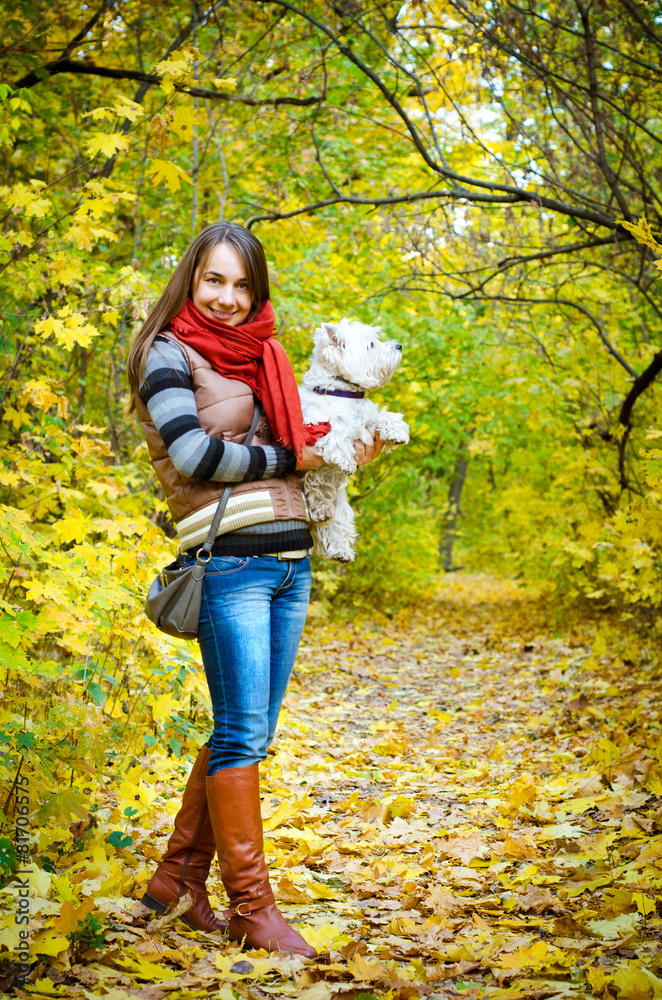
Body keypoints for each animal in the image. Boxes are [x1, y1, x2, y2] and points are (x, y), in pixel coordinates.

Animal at [300, 316, 410, 560]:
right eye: (371, 345)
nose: (399, 346)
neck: (343, 393)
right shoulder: (314, 428)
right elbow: (336, 436)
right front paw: (347, 461)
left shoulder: (367, 423)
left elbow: (383, 416)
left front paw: (398, 431)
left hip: (340, 504)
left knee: (333, 524)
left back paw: (340, 550)